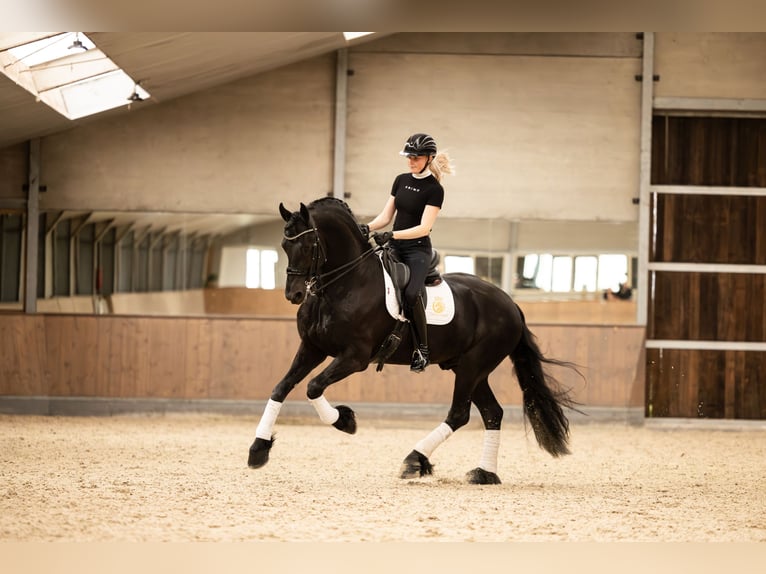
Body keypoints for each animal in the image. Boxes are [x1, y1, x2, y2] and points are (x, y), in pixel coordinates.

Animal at [249, 198, 580, 486]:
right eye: (284, 245)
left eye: (308, 245)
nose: (294, 295)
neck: (345, 284)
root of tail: (511, 304)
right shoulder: (312, 348)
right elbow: (281, 388)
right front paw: (258, 449)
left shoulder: (355, 357)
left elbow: (313, 386)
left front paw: (345, 421)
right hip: (470, 368)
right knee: (491, 413)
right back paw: (484, 474)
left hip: (473, 366)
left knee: (459, 413)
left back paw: (415, 460)